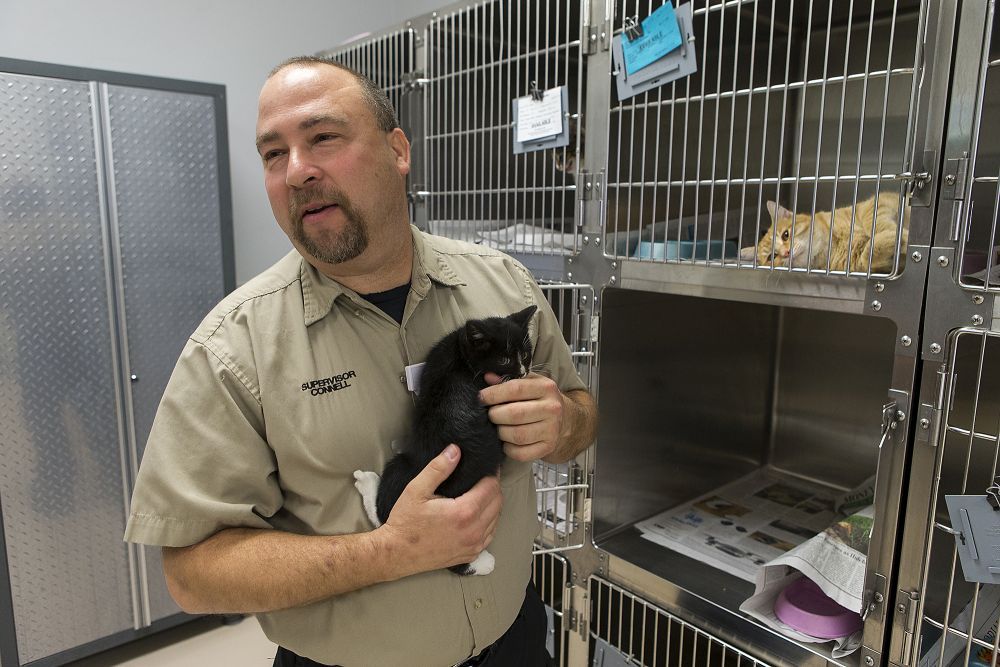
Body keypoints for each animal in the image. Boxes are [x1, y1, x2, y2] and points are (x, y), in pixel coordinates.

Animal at [354, 306, 536, 576]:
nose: (523, 372)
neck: (461, 357)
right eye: (503, 360)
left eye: (524, 353)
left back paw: (367, 481)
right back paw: (481, 564)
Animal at [740, 192, 912, 272]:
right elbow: (868, 253)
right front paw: (896, 240)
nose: (786, 253)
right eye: (772, 257)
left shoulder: (875, 204)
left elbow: (874, 222)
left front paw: (900, 235)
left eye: (785, 235)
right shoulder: (860, 262)